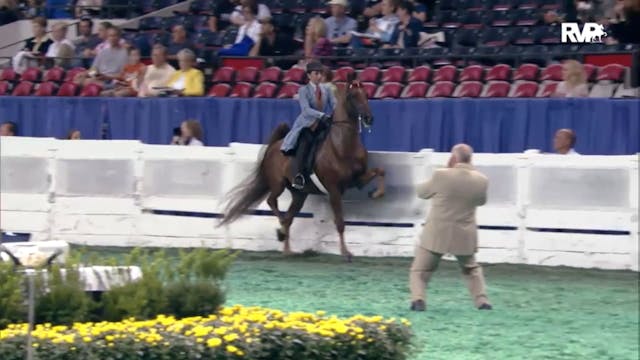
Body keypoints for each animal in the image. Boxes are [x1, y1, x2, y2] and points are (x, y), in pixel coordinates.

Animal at [219, 75, 384, 262]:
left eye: (366, 94)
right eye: (353, 96)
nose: (370, 119)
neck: (342, 145)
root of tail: (274, 146)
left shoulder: (357, 180)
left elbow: (380, 172)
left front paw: (377, 193)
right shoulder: (334, 189)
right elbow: (340, 222)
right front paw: (345, 252)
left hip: (299, 194)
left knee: (289, 216)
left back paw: (287, 249)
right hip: (278, 184)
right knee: (273, 203)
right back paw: (281, 232)